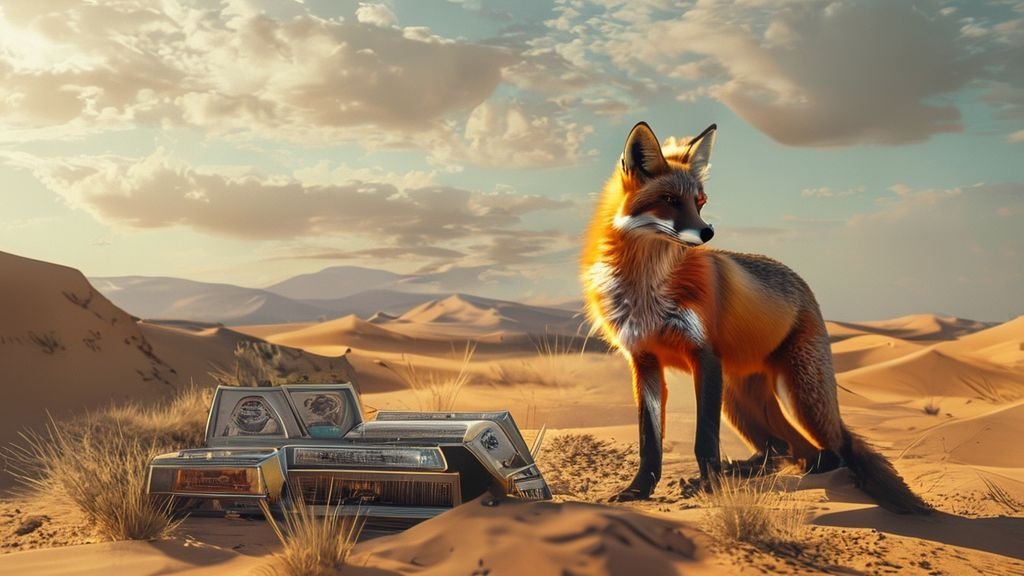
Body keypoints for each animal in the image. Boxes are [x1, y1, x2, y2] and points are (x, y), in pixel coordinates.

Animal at [580, 121, 930, 514]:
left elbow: (704, 440)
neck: (646, 287)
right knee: (788, 448)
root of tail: (801, 281)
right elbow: (648, 441)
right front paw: (638, 490)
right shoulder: (644, 360)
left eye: (700, 203)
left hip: (802, 400)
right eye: (669, 200)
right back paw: (747, 471)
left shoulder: (703, 356)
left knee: (831, 453)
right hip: (739, 399)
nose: (708, 232)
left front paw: (709, 487)